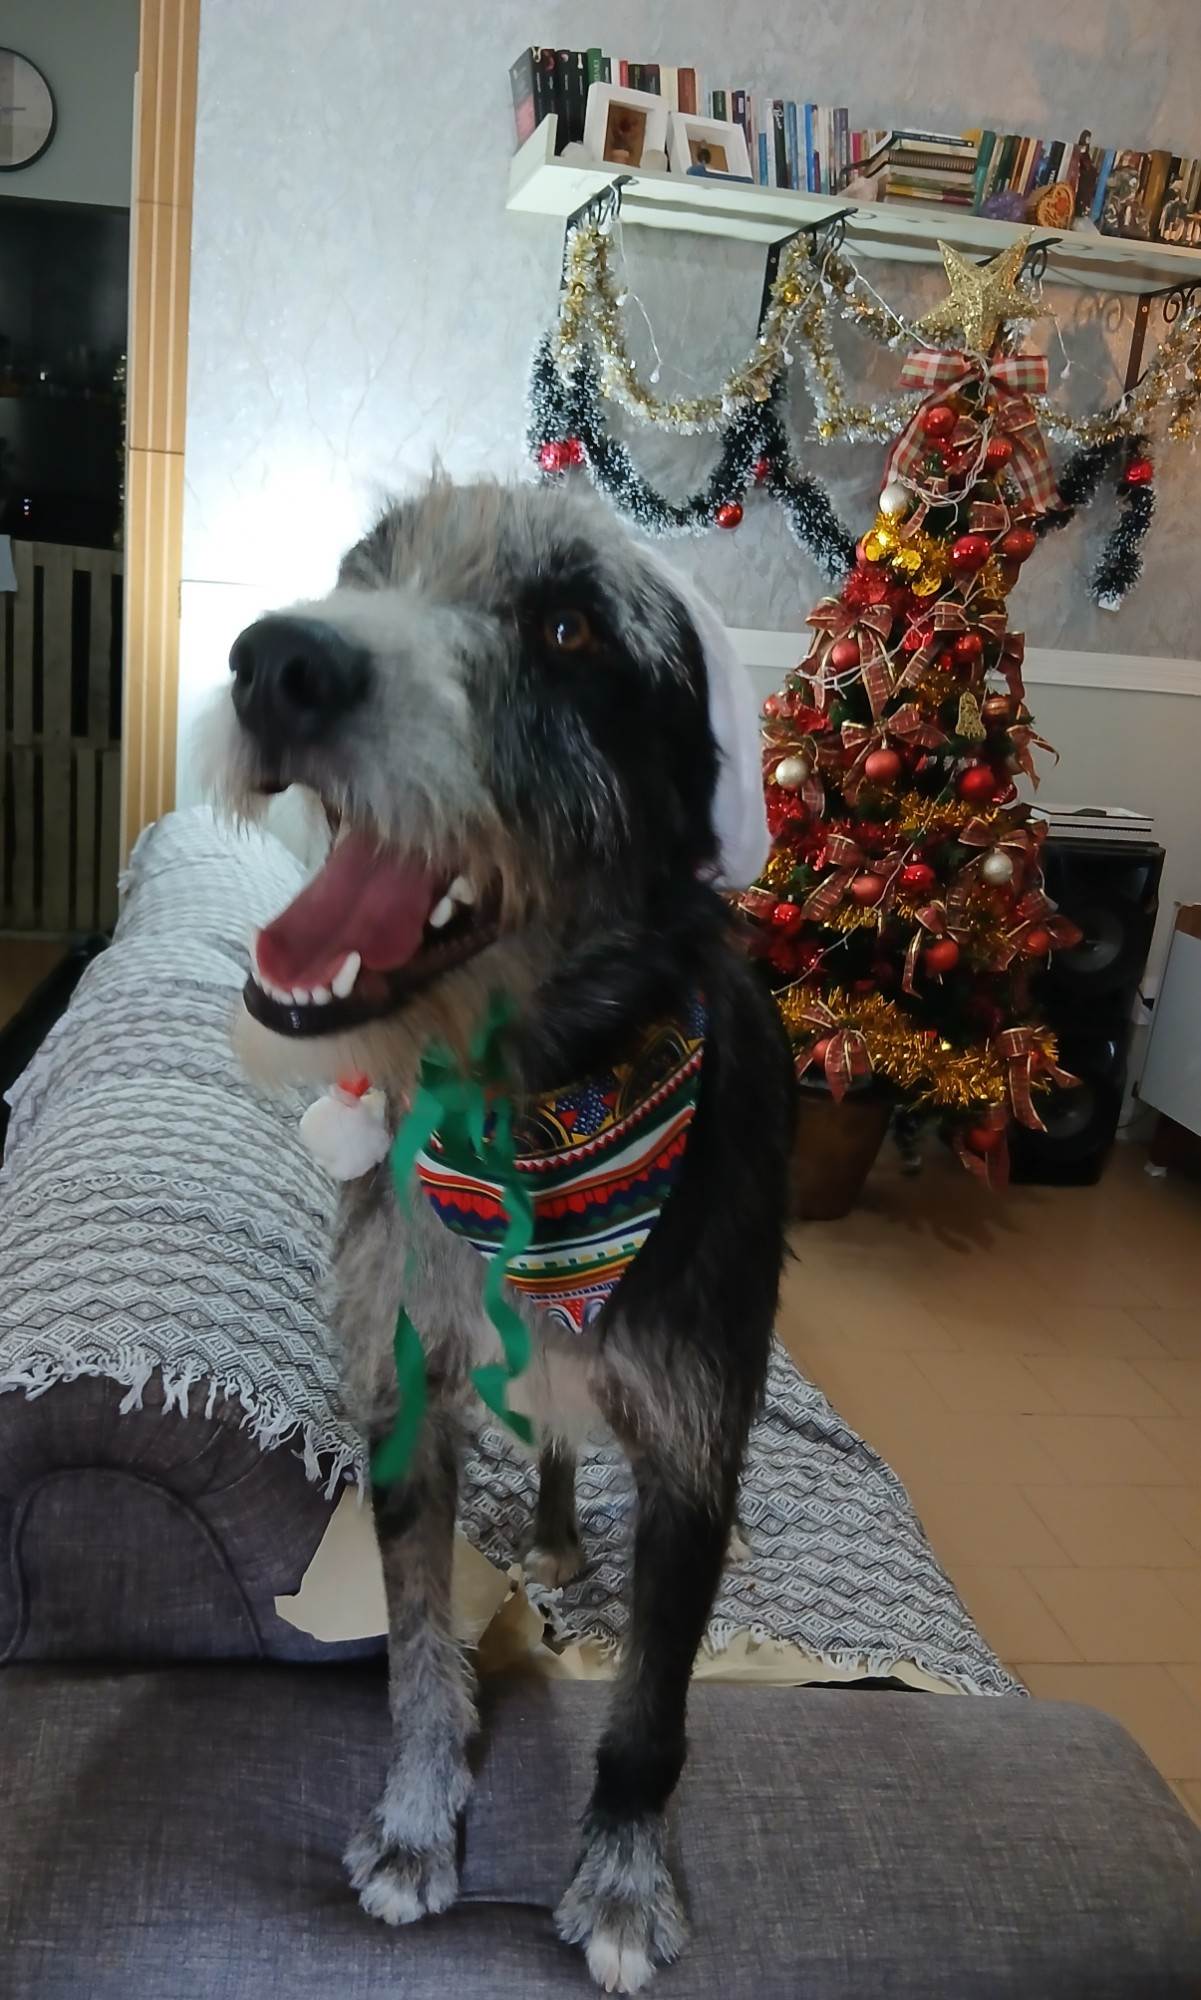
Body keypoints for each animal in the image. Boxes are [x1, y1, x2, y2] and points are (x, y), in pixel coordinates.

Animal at [205, 478, 793, 1993]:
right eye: (362, 570)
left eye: (571, 629)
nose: (275, 662)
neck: (532, 1106)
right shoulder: (407, 1404)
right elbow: (415, 1650)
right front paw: (419, 1824)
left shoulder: (692, 1454)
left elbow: (650, 1710)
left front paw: (626, 1879)